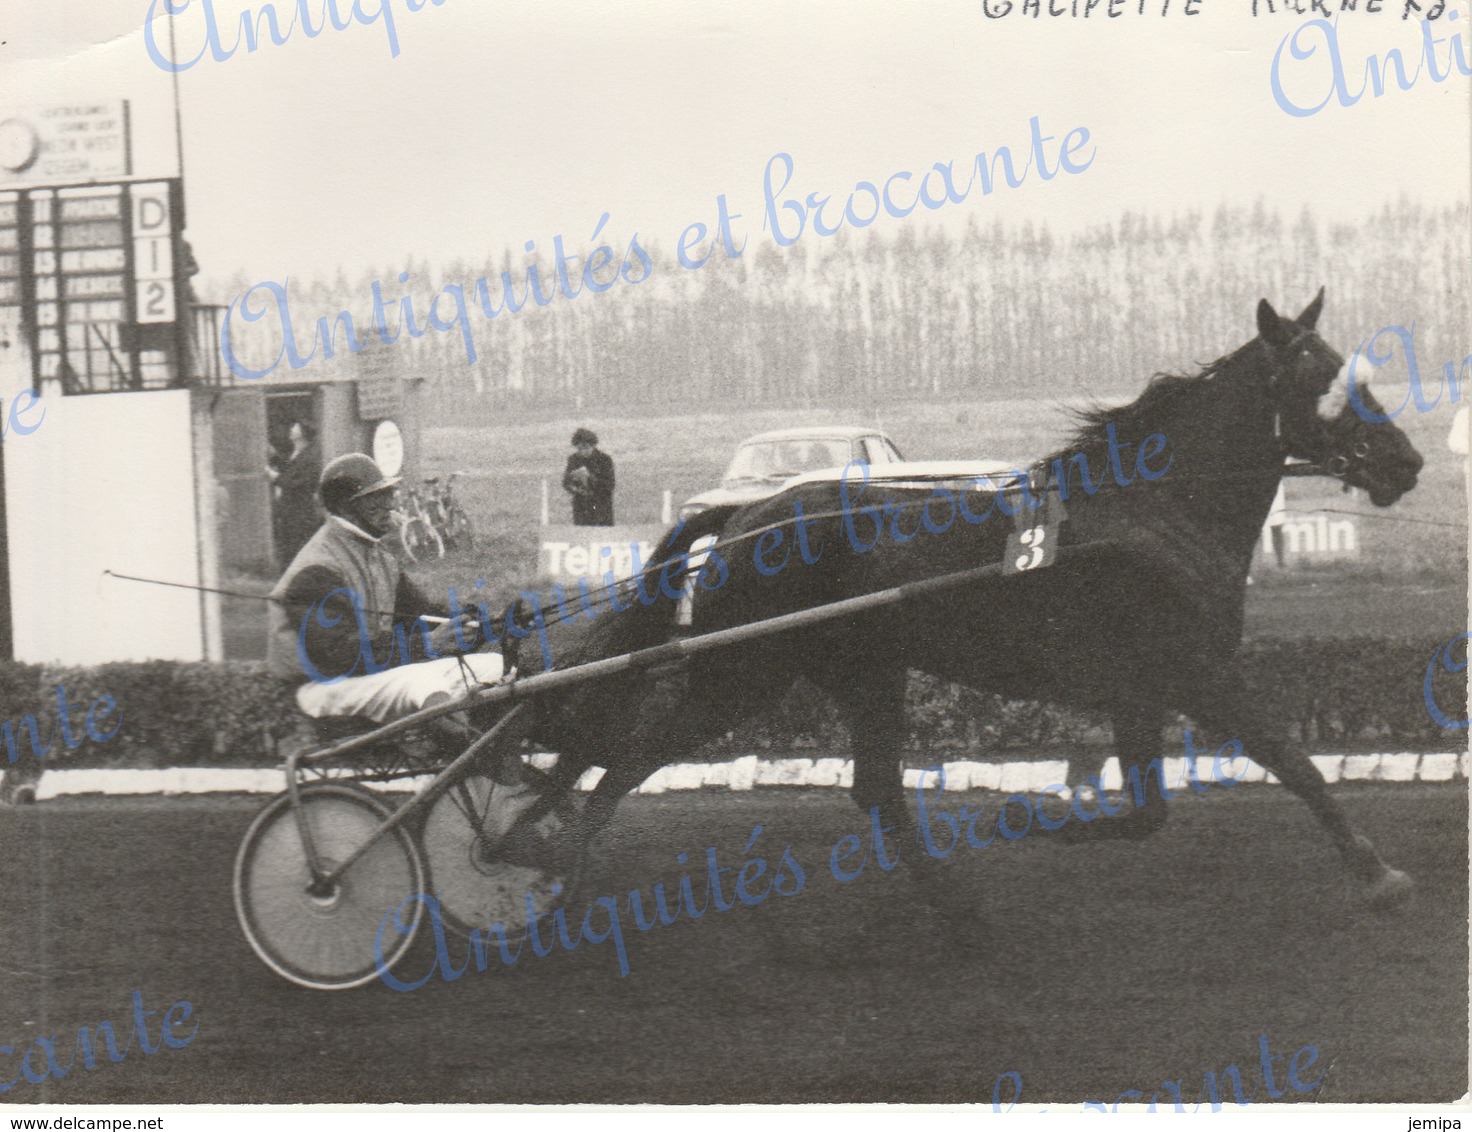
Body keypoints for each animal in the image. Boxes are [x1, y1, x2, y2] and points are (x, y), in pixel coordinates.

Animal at [512, 294, 1419, 906]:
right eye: (1325, 383)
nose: (1405, 461)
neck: (1151, 514)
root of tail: (746, 515)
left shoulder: (1139, 687)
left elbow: (1149, 812)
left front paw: (1048, 821)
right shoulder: (1194, 671)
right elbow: (1294, 762)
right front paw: (1378, 872)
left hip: (863, 672)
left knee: (873, 789)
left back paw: (954, 909)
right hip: (745, 671)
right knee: (629, 754)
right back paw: (558, 872)